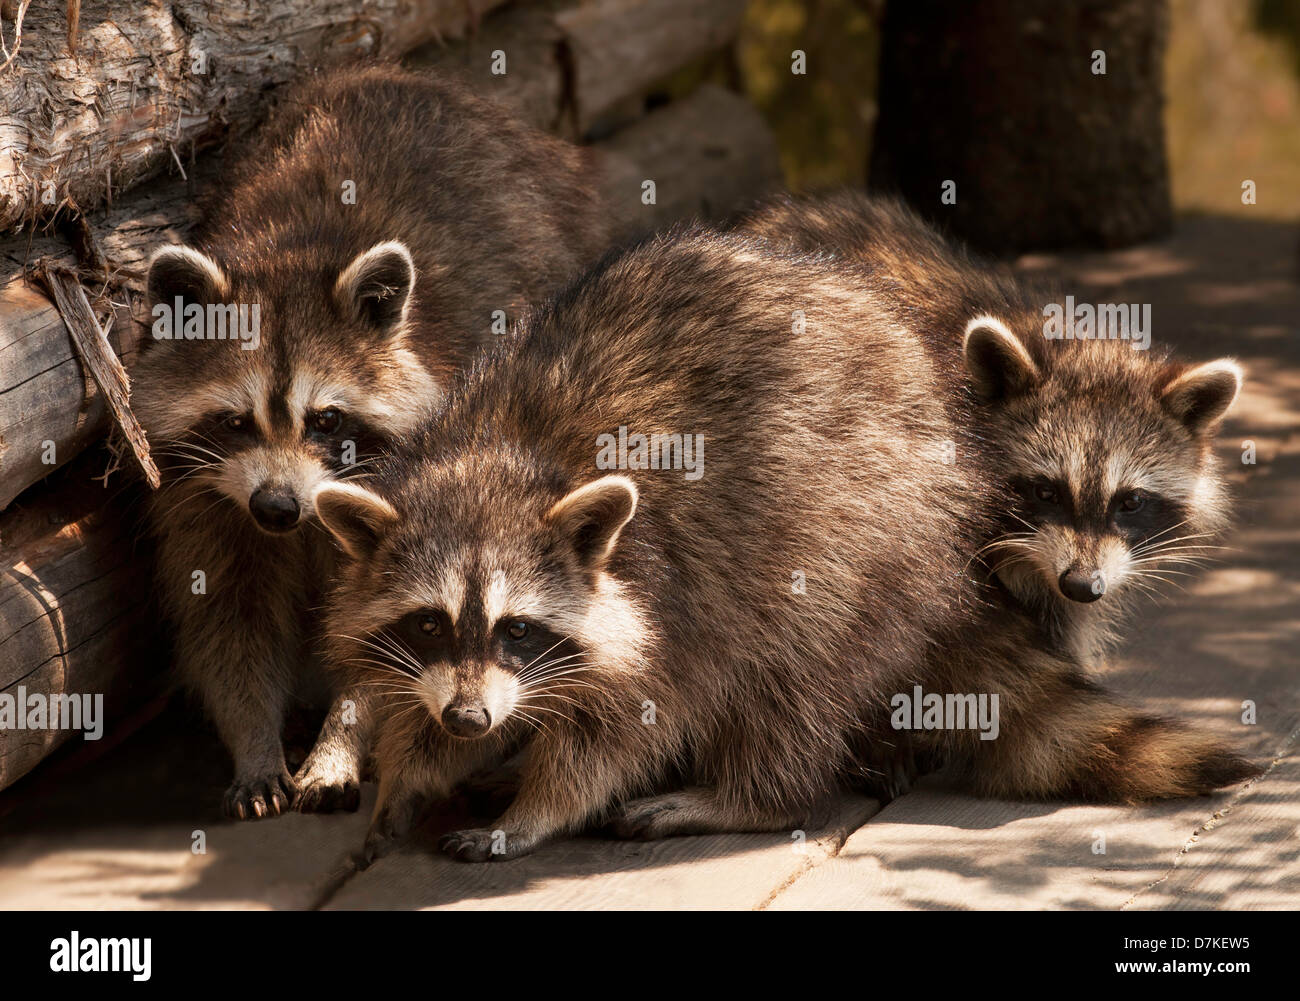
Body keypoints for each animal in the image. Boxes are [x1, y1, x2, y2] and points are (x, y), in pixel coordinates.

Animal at [131, 63, 610, 820]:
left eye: (326, 420)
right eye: (236, 422)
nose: (277, 507)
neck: (285, 255)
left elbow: (390, 641)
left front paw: (340, 741)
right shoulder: (202, 499)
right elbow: (227, 622)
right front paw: (255, 741)